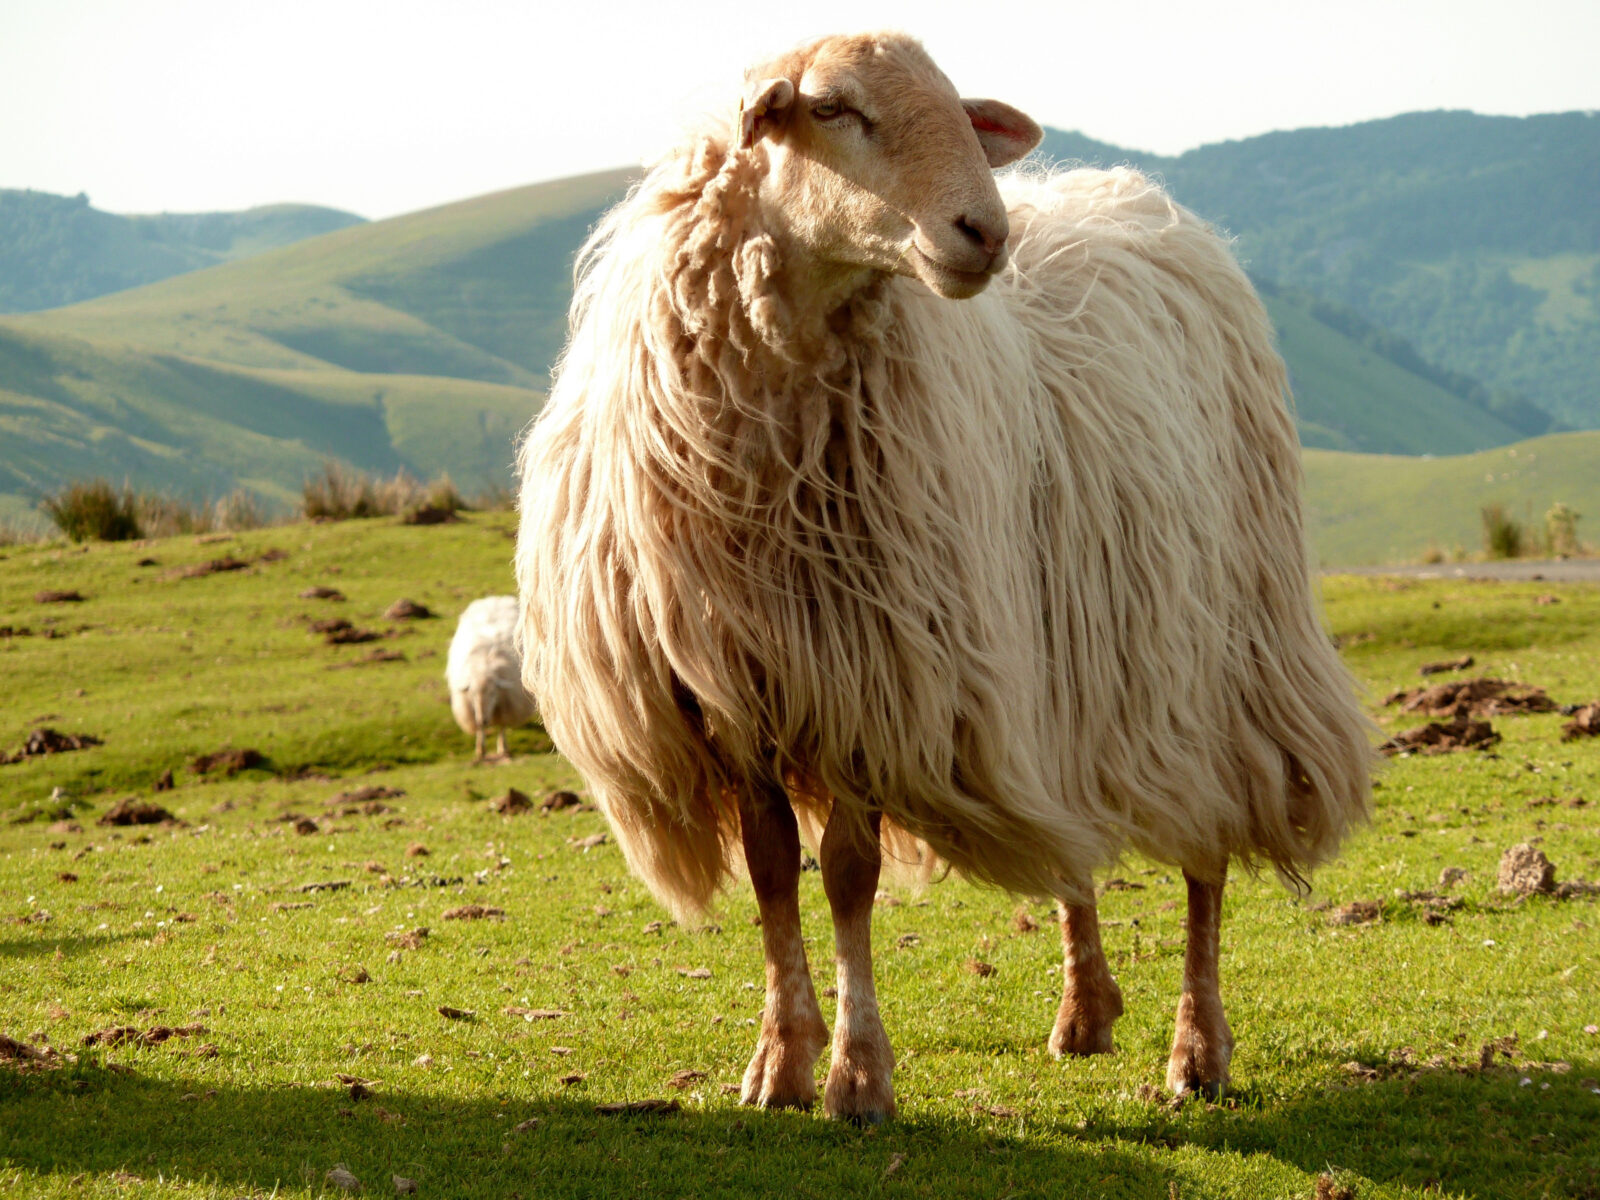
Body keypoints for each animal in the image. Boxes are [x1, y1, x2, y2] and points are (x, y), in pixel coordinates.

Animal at [444, 598, 537, 764]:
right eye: (472, 694)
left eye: (494, 693)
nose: (483, 720)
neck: (483, 667)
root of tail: (495, 598)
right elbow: (480, 730)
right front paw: (481, 750)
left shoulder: (507, 703)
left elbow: (502, 725)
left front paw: (503, 748)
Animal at [515, 28, 1376, 1126]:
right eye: (831, 108)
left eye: (960, 111)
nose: (984, 230)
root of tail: (1146, 204)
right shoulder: (738, 688)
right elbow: (770, 872)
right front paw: (779, 1062)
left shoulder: (878, 677)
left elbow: (846, 875)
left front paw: (857, 1075)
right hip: (1067, 662)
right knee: (1074, 830)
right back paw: (1085, 1011)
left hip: (1217, 655)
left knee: (1206, 853)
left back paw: (1199, 1049)